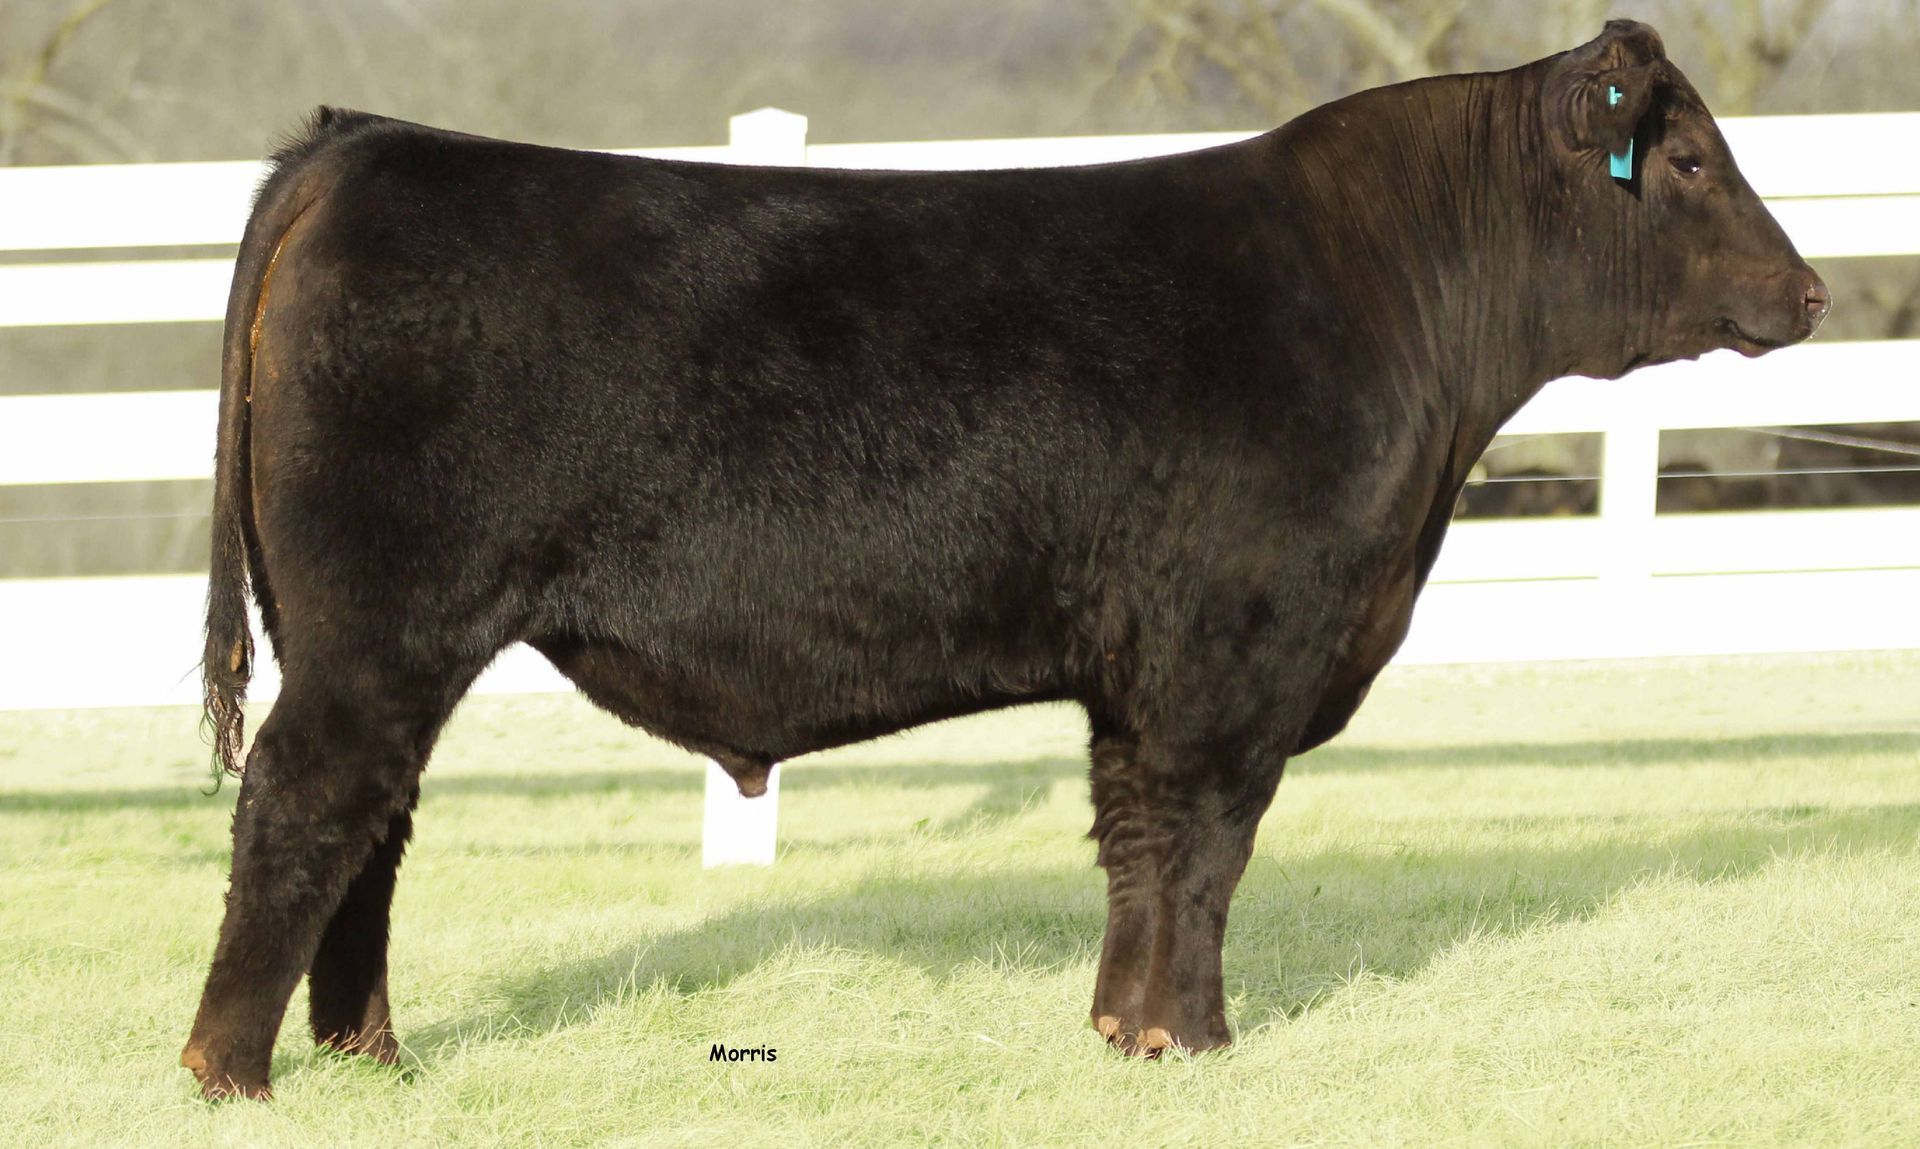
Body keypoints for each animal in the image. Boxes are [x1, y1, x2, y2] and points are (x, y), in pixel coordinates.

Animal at [181, 20, 1826, 1098]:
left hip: (371, 635)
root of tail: (365, 144)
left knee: (374, 822)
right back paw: (232, 1072)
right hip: (380, 627)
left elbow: (1136, 843)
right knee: (305, 805)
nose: (1809, 291)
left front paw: (1123, 1031)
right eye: (1687, 157)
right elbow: (1207, 843)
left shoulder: (1144, 668)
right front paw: (1196, 1043)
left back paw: (369, 1058)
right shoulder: (1236, 649)